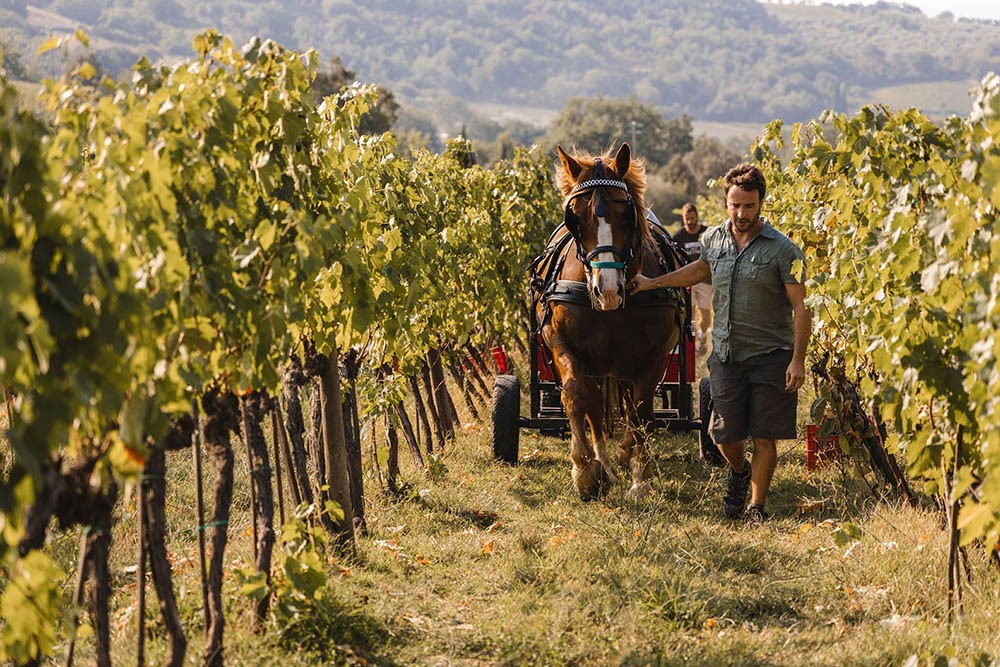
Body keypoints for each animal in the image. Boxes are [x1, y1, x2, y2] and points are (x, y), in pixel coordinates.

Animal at [536, 146, 684, 500]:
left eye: (626, 215)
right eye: (574, 217)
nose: (607, 289)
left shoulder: (653, 355)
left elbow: (642, 411)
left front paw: (641, 479)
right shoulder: (560, 341)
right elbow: (576, 397)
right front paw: (585, 472)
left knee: (630, 408)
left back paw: (625, 454)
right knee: (595, 409)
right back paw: (604, 465)